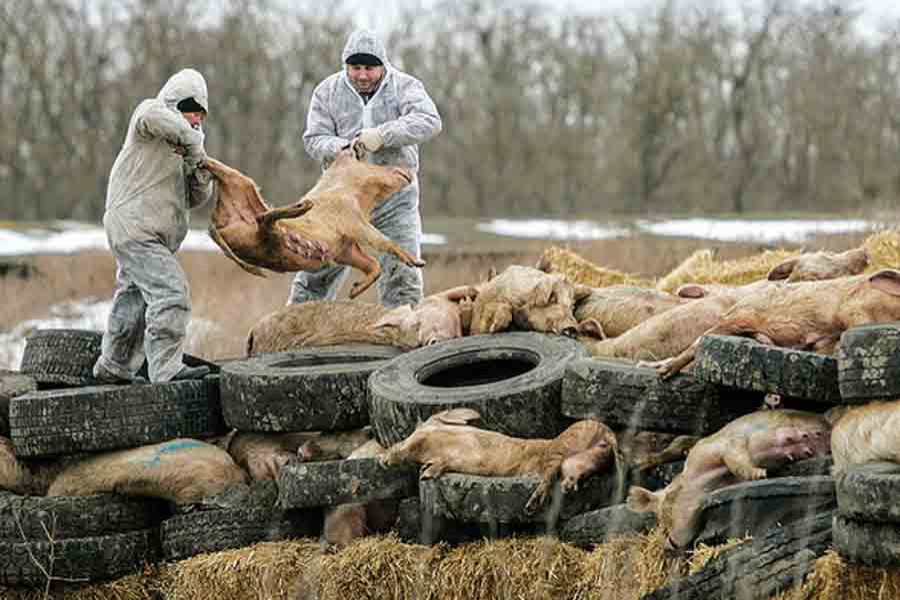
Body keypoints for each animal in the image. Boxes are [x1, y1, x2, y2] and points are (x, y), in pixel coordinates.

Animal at [205, 148, 424, 298]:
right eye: (377, 163)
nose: (406, 171)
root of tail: (216, 223)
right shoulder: (353, 220)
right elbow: (384, 240)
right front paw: (418, 262)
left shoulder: (345, 248)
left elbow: (373, 263)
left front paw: (353, 293)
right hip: (257, 216)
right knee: (264, 220)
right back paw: (303, 206)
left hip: (244, 186)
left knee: (261, 216)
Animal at [381, 408, 619, 513]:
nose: (381, 459)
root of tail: (607, 434)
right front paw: (425, 472)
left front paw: (424, 472)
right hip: (582, 460)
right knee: (569, 473)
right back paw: (566, 488)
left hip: (563, 447)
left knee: (549, 474)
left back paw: (531, 504)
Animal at [627, 409, 831, 550]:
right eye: (660, 518)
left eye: (665, 512)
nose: (670, 544)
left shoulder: (719, 447)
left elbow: (735, 457)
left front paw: (761, 474)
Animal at [656, 269, 900, 379]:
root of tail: (733, 307)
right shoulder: (852, 308)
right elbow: (856, 322)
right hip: (741, 317)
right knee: (700, 340)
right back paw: (664, 373)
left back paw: (767, 341)